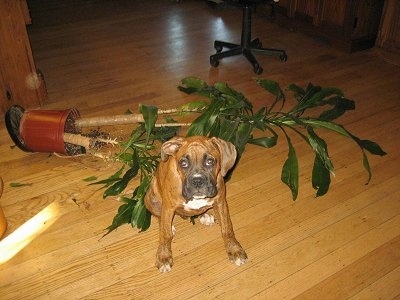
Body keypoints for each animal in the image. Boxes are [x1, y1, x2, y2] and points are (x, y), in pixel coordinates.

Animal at [144, 136, 247, 272]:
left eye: (210, 161)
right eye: (183, 163)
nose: (197, 181)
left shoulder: (221, 203)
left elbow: (227, 228)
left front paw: (235, 250)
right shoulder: (168, 207)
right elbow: (165, 235)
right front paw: (164, 257)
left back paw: (205, 216)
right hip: (151, 196)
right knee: (159, 216)